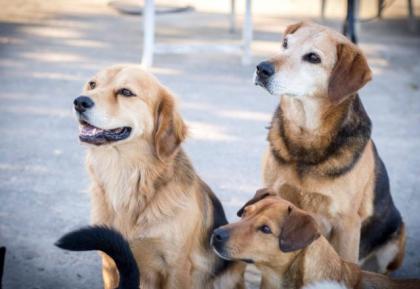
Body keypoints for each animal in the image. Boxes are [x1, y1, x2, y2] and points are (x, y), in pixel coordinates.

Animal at [71, 64, 244, 288]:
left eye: (126, 92)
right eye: (92, 84)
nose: (79, 102)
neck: (127, 176)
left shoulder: (177, 267)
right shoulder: (110, 260)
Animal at [251, 21, 406, 272]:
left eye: (313, 58)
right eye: (285, 44)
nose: (261, 68)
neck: (306, 139)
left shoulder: (347, 223)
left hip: (393, 245)